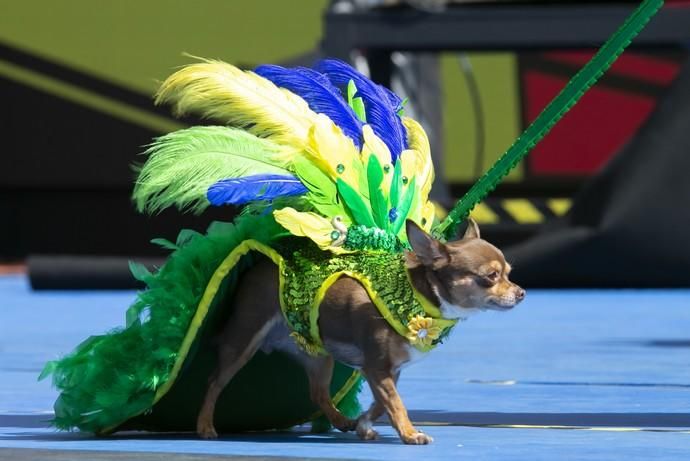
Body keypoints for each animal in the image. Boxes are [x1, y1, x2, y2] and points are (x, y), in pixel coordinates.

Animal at [196, 218, 524, 442]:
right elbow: (396, 403)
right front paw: (409, 434)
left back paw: (342, 420)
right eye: (491, 276)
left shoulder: (387, 370)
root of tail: (259, 264)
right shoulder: (377, 366)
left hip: (319, 355)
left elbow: (381, 404)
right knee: (213, 382)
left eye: (509, 273)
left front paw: (365, 424)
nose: (521, 293)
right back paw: (205, 426)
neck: (418, 296)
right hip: (243, 339)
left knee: (318, 393)